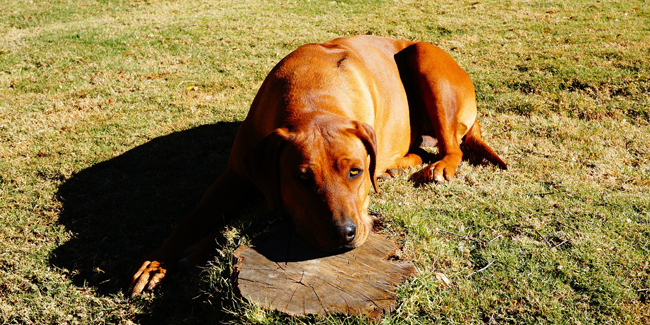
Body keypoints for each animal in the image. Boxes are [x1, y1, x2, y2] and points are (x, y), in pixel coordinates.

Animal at [128, 35, 506, 296]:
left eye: (355, 172)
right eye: (302, 179)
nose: (343, 234)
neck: (312, 95)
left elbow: (238, 219)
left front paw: (198, 248)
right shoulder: (237, 173)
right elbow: (196, 216)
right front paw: (160, 260)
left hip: (425, 57)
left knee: (452, 147)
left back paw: (438, 166)